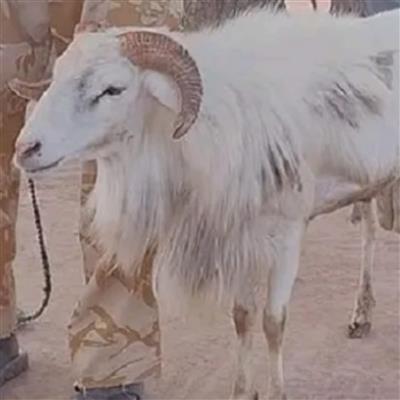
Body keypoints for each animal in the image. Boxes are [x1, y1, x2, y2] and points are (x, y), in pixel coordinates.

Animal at [10, 8, 399, 400]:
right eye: (56, 76)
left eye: (112, 89)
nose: (25, 149)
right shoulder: (240, 237)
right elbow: (243, 318)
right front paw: (243, 391)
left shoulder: (289, 233)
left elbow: (273, 323)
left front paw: (276, 392)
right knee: (368, 230)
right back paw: (361, 314)